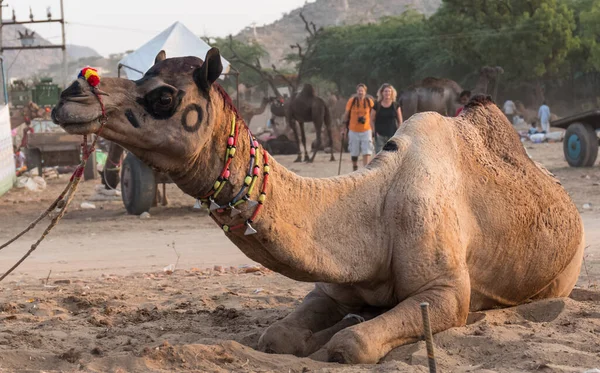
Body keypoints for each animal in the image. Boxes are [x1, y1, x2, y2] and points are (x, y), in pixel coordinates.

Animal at [52, 48, 584, 364]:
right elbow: (277, 338)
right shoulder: (332, 285)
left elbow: (351, 345)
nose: (70, 94)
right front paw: (333, 326)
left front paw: (347, 331)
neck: (373, 210)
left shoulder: (446, 290)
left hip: (564, 272)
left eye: (163, 95)